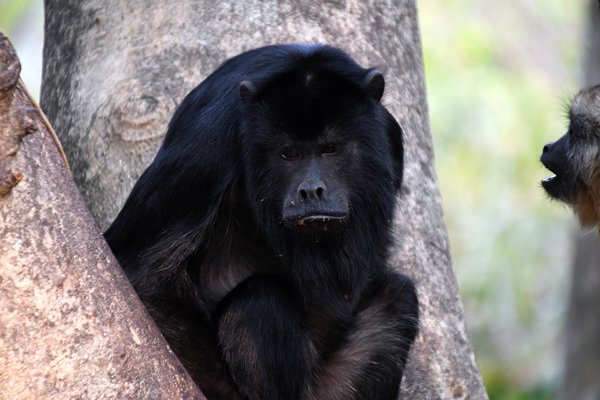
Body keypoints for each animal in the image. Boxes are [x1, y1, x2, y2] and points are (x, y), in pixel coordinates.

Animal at [105, 43, 420, 400]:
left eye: (330, 149)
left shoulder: (388, 135)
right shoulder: (207, 144)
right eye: (289, 154)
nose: (311, 190)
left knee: (398, 295)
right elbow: (142, 275)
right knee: (262, 298)